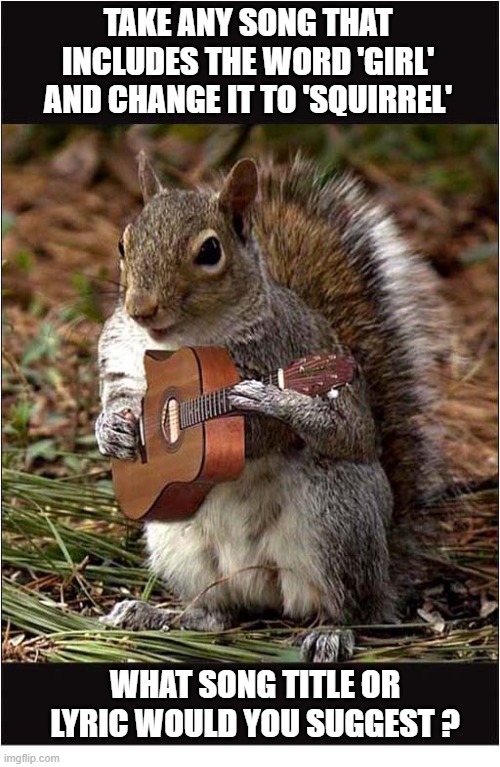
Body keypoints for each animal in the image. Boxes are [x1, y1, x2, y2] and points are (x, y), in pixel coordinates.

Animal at [96, 153, 445, 662]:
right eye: (123, 243)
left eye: (210, 251)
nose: (140, 308)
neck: (179, 340)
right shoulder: (121, 355)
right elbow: (117, 393)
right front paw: (113, 431)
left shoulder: (282, 351)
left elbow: (292, 427)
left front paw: (272, 399)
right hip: (178, 543)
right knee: (215, 614)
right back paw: (155, 614)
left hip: (339, 518)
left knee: (354, 606)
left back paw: (332, 632)